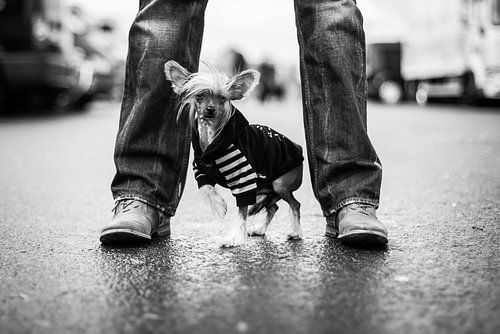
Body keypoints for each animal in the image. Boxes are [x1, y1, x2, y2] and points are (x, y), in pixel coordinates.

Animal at [166, 60, 302, 248]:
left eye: (222, 98)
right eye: (200, 96)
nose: (210, 109)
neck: (211, 136)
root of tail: (298, 149)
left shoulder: (243, 180)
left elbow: (241, 213)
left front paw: (234, 239)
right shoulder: (201, 171)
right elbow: (207, 188)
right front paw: (219, 206)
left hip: (280, 186)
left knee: (295, 205)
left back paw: (296, 232)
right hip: (265, 189)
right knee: (273, 208)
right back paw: (261, 229)